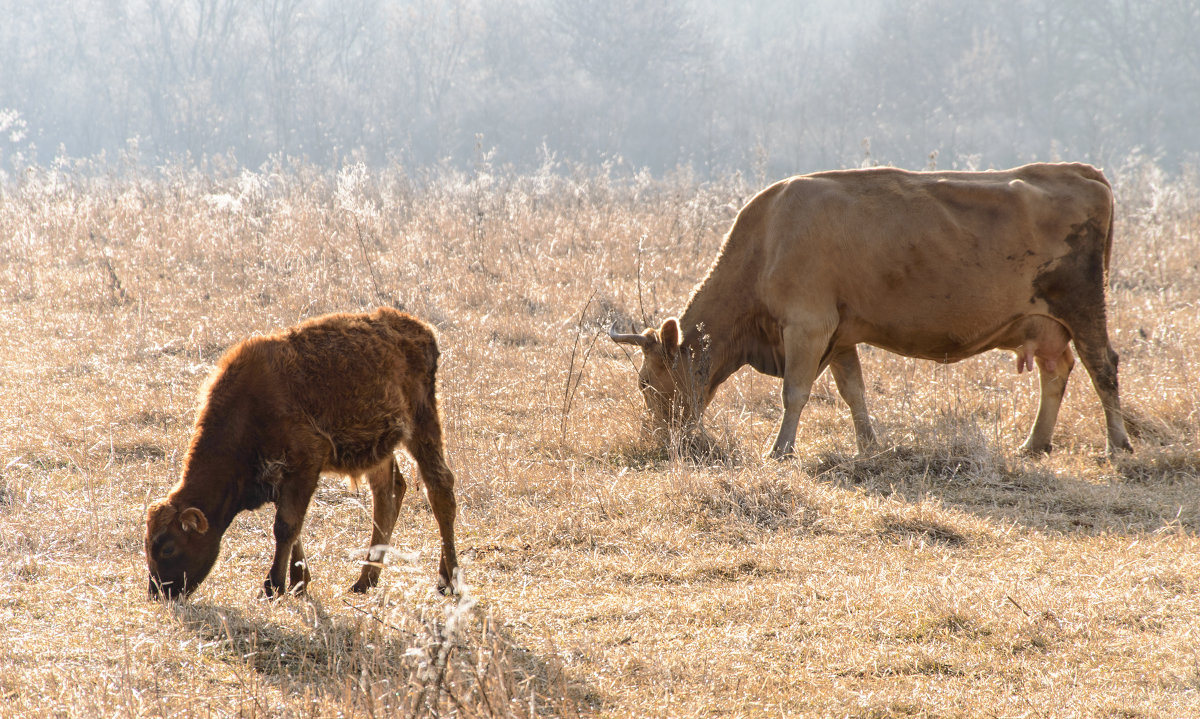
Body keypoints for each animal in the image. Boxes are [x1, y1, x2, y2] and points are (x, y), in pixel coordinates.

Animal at [141, 306, 458, 600]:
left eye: (168, 548)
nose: (158, 593)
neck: (247, 408)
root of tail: (421, 330)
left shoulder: (304, 463)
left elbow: (285, 526)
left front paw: (272, 587)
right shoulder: (283, 478)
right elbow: (294, 528)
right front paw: (298, 582)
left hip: (422, 423)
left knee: (439, 488)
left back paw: (447, 580)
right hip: (379, 447)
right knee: (388, 493)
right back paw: (364, 581)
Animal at [614, 160, 1128, 458]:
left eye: (646, 383)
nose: (657, 442)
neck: (767, 240)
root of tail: (1079, 171)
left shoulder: (807, 325)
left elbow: (795, 392)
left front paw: (780, 450)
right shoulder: (840, 333)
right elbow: (853, 392)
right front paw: (869, 445)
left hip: (1084, 306)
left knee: (1102, 366)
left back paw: (1117, 445)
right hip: (1045, 324)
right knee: (1056, 369)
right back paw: (1034, 444)